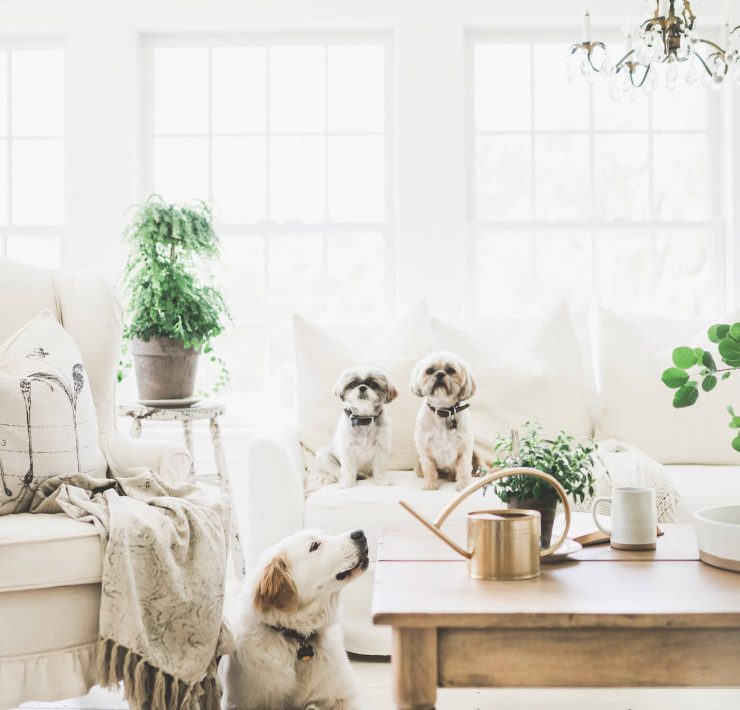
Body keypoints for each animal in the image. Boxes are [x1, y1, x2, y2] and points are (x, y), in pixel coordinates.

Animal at [306, 368, 398, 496]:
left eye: (373, 384)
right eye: (353, 384)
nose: (362, 387)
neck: (364, 419)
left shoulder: (381, 449)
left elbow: (379, 468)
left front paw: (381, 482)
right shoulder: (347, 450)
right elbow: (348, 469)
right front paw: (348, 484)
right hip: (323, 455)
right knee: (338, 473)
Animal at [410, 352, 480, 496]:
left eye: (451, 370)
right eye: (429, 371)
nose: (440, 374)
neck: (443, 411)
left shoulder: (465, 449)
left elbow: (464, 469)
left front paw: (464, 487)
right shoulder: (425, 451)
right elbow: (430, 470)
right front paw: (430, 486)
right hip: (418, 467)